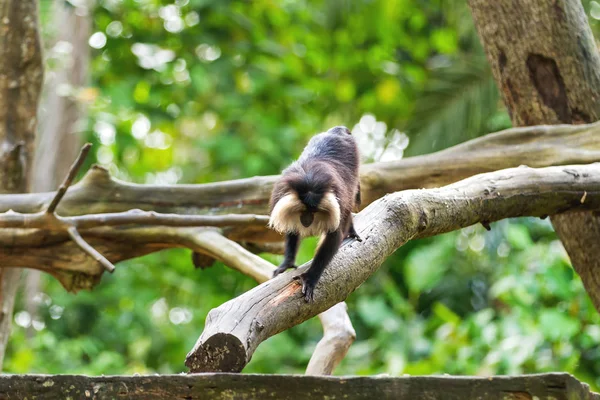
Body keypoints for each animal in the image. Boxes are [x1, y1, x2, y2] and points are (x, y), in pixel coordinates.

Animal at [268, 125, 360, 300]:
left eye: (314, 210)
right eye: (303, 210)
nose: (307, 219)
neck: (309, 178)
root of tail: (338, 130)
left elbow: (334, 237)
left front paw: (310, 279)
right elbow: (293, 229)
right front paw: (287, 263)